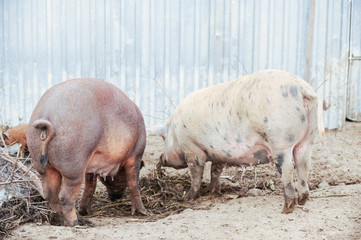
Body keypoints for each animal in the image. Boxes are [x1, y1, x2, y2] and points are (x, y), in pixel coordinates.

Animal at [26, 79, 147, 227]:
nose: (114, 198)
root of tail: (46, 116)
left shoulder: (91, 163)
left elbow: (90, 185)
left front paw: (84, 211)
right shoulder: (136, 154)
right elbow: (133, 182)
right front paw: (142, 212)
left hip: (42, 165)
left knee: (50, 194)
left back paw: (59, 221)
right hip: (73, 166)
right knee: (65, 196)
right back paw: (74, 223)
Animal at [148, 69, 324, 214]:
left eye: (163, 138)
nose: (160, 158)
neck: (175, 131)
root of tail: (302, 89)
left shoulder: (192, 149)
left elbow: (196, 173)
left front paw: (188, 197)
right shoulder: (219, 153)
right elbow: (215, 170)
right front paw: (212, 191)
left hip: (280, 141)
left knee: (288, 169)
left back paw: (286, 209)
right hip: (308, 140)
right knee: (304, 165)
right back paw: (302, 201)